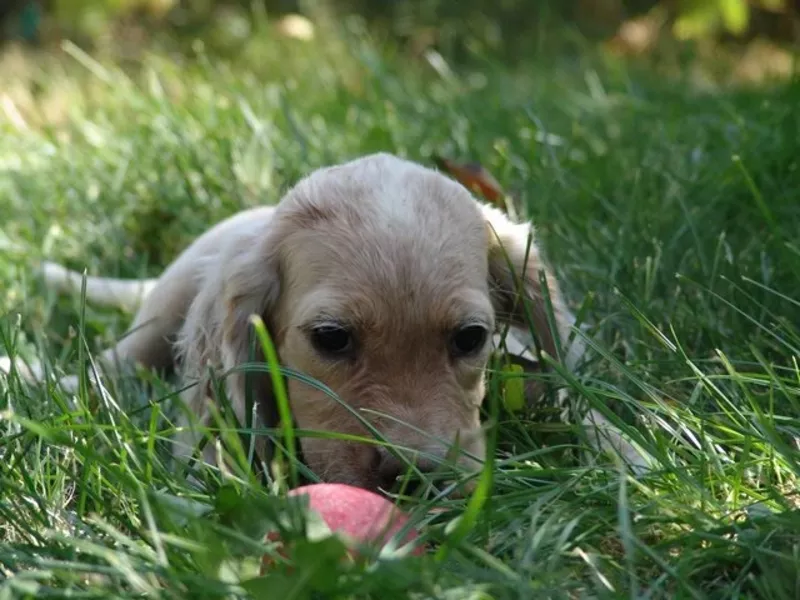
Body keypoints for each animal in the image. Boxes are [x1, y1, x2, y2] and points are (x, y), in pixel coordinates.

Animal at [1, 152, 648, 490]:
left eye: (471, 338)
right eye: (331, 339)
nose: (411, 477)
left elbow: (578, 405)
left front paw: (631, 456)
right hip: (159, 315)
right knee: (103, 371)